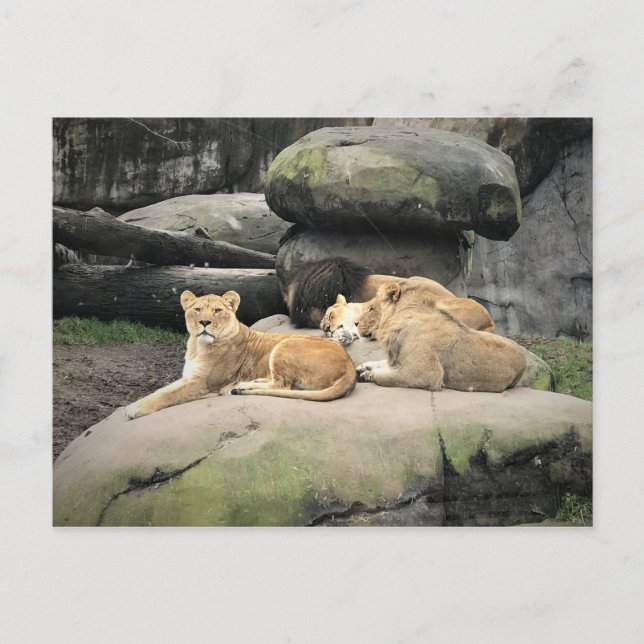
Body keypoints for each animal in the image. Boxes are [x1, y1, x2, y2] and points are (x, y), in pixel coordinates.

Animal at [126, 290, 356, 419]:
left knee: (283, 386)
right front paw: (133, 404)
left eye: (217, 311)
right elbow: (160, 391)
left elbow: (168, 395)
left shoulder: (202, 384)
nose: (204, 322)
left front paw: (135, 410)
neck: (197, 346)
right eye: (197, 309)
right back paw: (247, 384)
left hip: (285, 344)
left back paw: (243, 387)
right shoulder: (189, 377)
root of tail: (350, 365)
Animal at [355, 281, 526, 393]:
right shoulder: (398, 360)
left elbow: (385, 376)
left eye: (371, 309)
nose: (355, 323)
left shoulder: (425, 374)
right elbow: (381, 363)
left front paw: (367, 374)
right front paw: (365, 366)